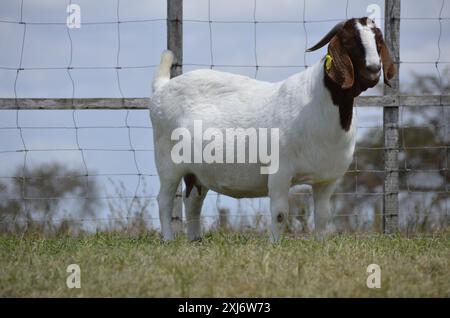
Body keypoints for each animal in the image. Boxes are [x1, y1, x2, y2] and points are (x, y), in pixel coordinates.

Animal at [150, 16, 394, 241]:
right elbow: (279, 214)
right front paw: (275, 245)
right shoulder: (279, 171)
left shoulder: (327, 179)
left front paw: (321, 244)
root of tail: (161, 88)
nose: (374, 69)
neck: (319, 103)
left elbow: (323, 216)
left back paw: (195, 241)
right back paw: (169, 240)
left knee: (192, 201)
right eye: (349, 40)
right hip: (168, 162)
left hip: (197, 171)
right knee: (164, 200)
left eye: (378, 39)